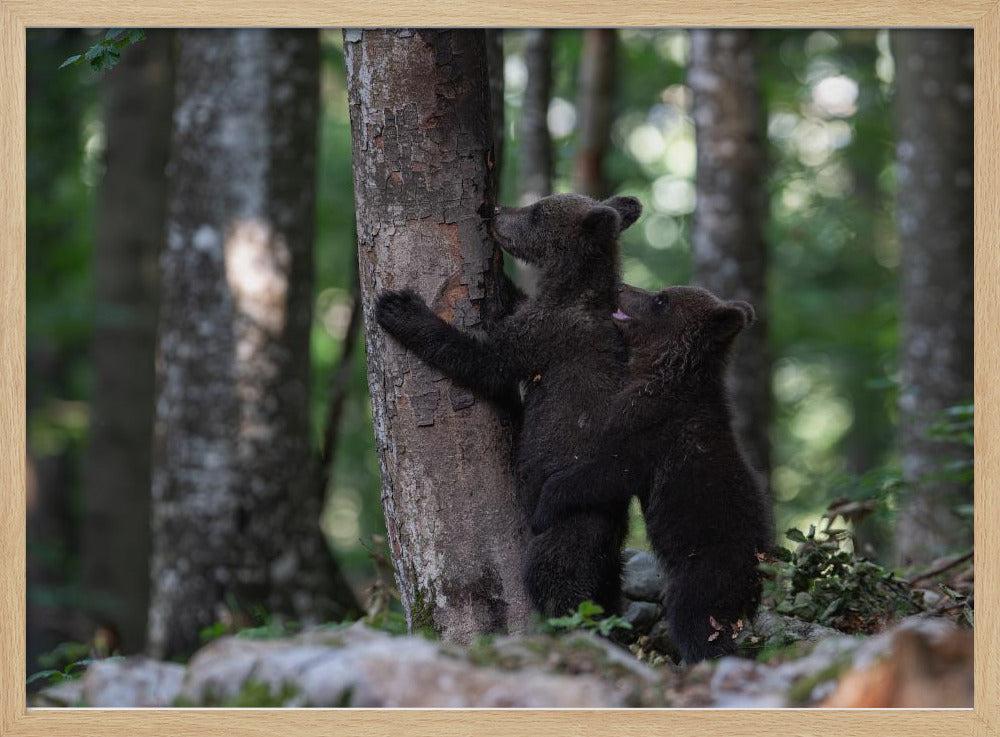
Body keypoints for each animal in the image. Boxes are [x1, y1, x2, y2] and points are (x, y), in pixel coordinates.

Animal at [375, 193, 642, 619]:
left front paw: (401, 308)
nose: (495, 211)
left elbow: (485, 361)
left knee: (557, 580)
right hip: (609, 556)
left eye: (537, 213)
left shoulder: (545, 336)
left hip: (569, 523)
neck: (571, 290)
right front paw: (501, 281)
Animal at [530, 284, 774, 662]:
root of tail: (757, 579)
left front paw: (545, 505)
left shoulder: (650, 429)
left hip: (706, 570)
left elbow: (606, 473)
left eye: (661, 299)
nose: (621, 287)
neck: (663, 372)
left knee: (694, 620)